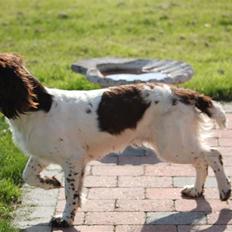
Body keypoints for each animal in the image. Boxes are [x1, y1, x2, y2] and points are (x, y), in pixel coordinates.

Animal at [0, 53, 230, 227]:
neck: (39, 108)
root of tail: (184, 92)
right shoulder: (45, 155)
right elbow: (29, 175)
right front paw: (52, 182)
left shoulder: (72, 159)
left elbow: (69, 192)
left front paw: (65, 219)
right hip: (178, 143)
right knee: (202, 160)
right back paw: (196, 190)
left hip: (172, 145)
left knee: (213, 155)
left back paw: (224, 191)